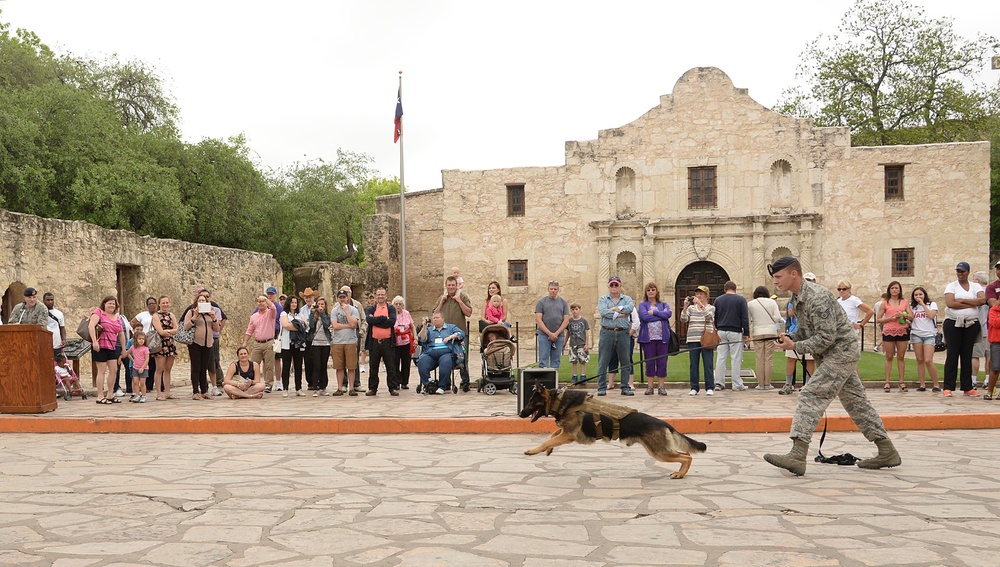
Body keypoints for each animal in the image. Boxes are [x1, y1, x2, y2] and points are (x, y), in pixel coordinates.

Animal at [520, 382, 708, 480]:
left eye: (531, 402)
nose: (521, 414)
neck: (559, 400)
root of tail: (665, 423)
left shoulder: (569, 435)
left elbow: (547, 439)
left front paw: (532, 450)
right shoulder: (566, 432)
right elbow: (551, 436)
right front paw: (548, 450)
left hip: (659, 452)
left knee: (687, 456)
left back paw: (680, 474)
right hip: (660, 451)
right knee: (685, 454)